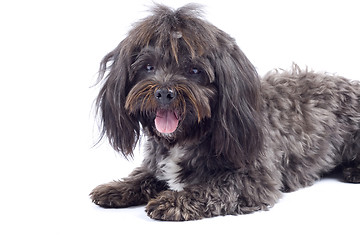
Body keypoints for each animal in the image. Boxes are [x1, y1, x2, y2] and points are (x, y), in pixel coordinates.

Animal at [90, 4, 360, 221]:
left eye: (194, 70)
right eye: (148, 67)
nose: (164, 93)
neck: (190, 136)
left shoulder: (254, 179)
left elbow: (215, 187)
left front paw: (173, 200)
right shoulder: (158, 163)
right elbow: (145, 175)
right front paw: (118, 188)